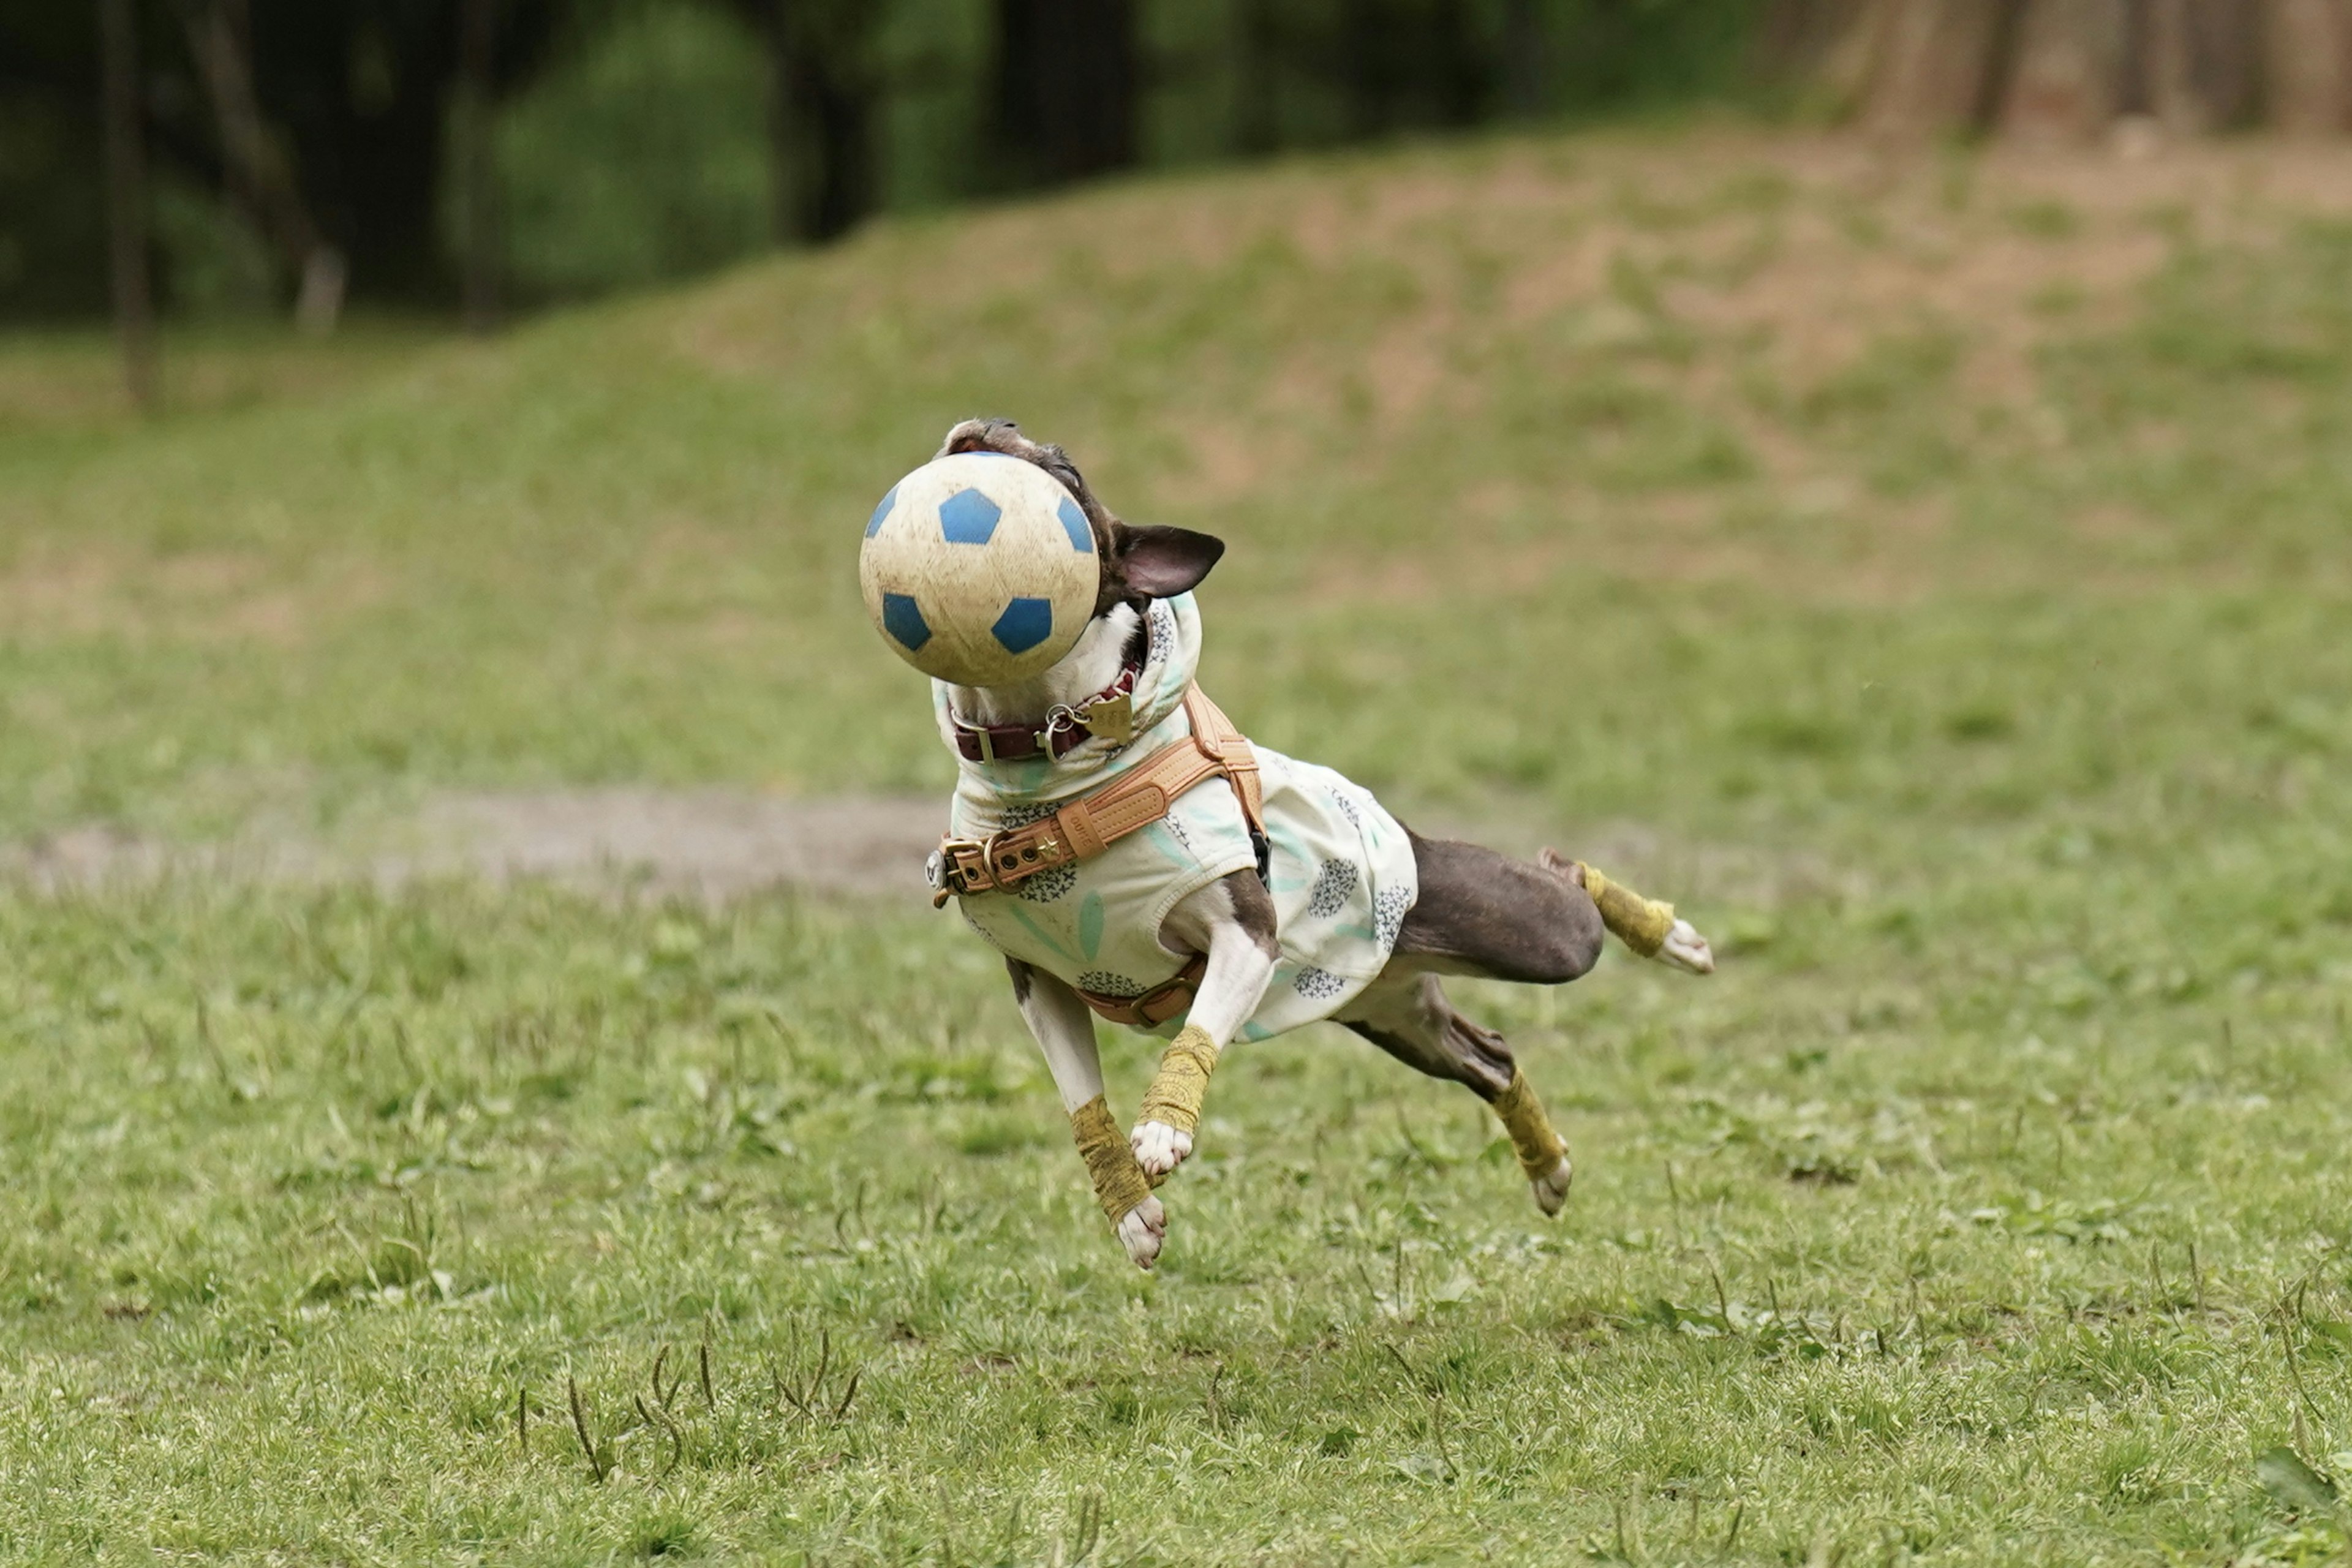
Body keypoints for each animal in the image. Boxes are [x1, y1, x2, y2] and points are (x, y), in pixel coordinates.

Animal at [912, 421, 1712, 1278]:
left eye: (1064, 465)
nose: (987, 424)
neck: (1049, 755)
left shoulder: (1247, 935)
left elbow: (1196, 1031)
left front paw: (1165, 1126)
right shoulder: (1042, 980)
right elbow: (1079, 1098)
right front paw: (1129, 1209)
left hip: (1536, 937)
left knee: (1566, 879)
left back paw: (1674, 937)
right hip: (1396, 1014)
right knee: (1490, 1053)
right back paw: (1550, 1167)